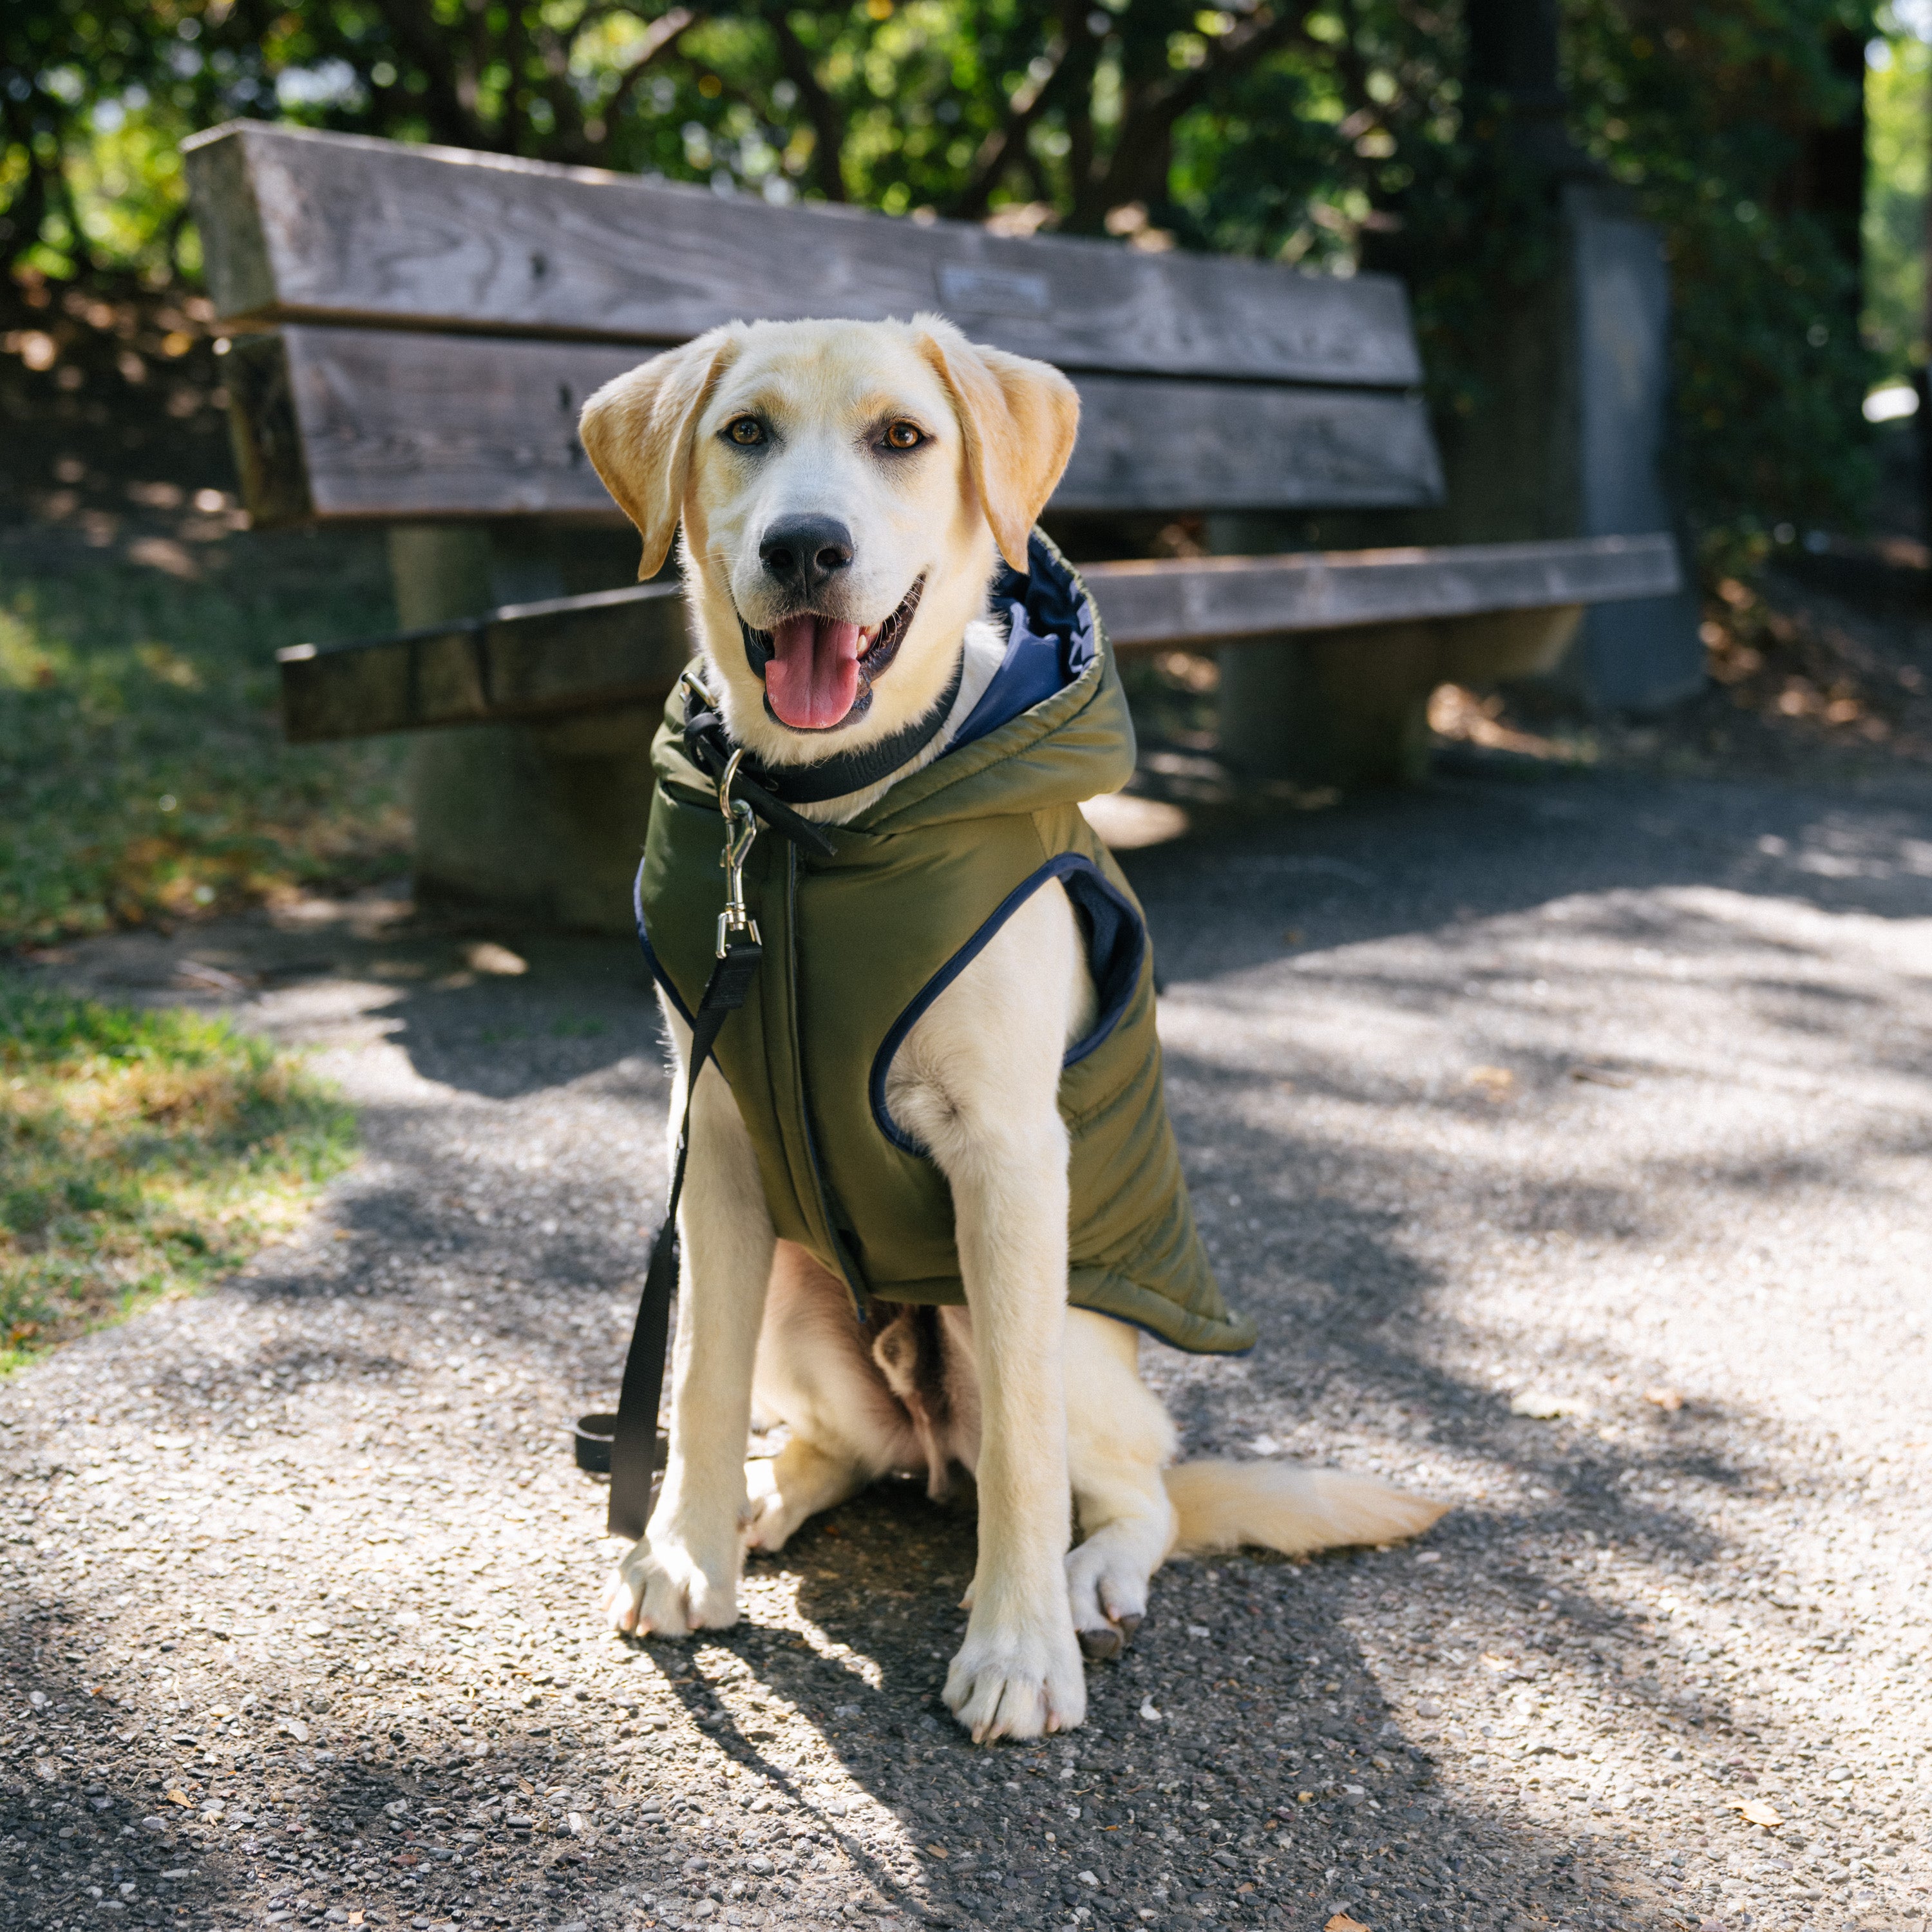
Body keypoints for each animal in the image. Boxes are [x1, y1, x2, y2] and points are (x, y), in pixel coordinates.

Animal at [580, 313, 1445, 1739]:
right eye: (745, 431)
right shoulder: (715, 1146)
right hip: (791, 1291)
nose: (805, 549)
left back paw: (1088, 1578)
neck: (813, 818)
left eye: (903, 437)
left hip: (1065, 1332)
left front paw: (1018, 1650)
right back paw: (771, 1494)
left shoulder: (1009, 1157)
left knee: (1126, 1487)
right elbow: (698, 1383)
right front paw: (688, 1553)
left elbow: (1028, 1462)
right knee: (852, 1446)